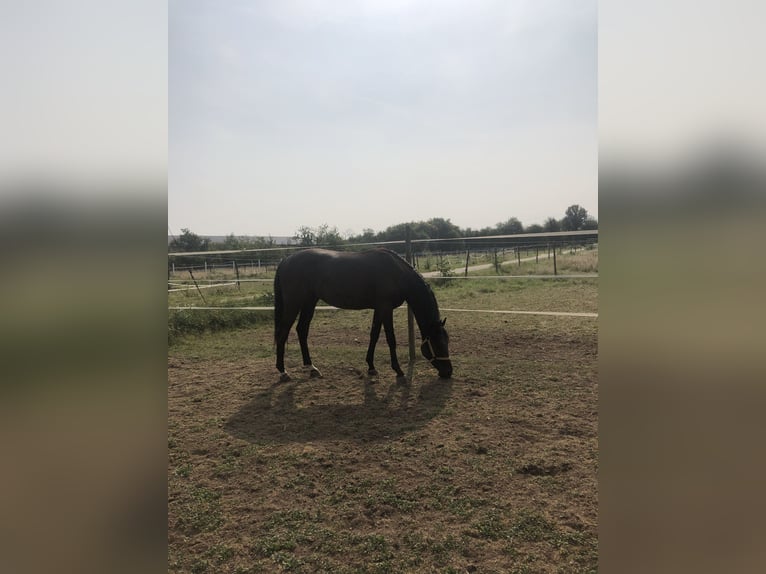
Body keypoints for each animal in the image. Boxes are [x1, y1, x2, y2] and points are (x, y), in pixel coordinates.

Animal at [273, 248, 452, 382]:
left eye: (447, 341)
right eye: (437, 344)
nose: (448, 371)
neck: (397, 274)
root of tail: (286, 260)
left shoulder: (379, 309)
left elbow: (374, 335)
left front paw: (371, 367)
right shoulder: (386, 308)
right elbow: (390, 339)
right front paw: (398, 371)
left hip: (309, 302)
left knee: (302, 330)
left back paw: (311, 368)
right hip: (294, 304)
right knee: (283, 333)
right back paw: (283, 372)